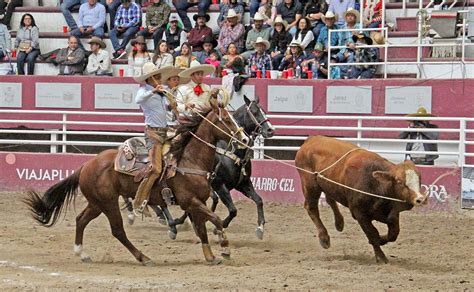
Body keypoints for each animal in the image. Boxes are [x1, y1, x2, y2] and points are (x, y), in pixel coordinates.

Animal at [24, 101, 250, 266]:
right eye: (227, 120)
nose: (246, 139)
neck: (188, 160)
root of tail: (86, 164)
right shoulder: (191, 201)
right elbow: (216, 219)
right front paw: (225, 248)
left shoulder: (197, 203)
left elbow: (202, 229)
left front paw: (210, 256)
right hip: (108, 203)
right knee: (118, 231)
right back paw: (144, 257)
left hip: (97, 203)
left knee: (81, 220)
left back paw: (82, 253)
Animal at [296, 136, 426, 264]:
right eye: (399, 181)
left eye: (419, 179)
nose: (420, 199)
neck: (376, 185)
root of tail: (311, 139)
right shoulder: (359, 213)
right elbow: (372, 234)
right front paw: (380, 257)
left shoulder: (392, 214)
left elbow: (393, 234)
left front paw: (381, 240)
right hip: (310, 184)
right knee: (311, 208)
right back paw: (324, 238)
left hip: (328, 184)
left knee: (330, 199)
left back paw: (339, 223)